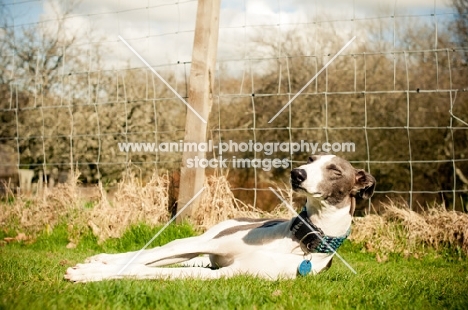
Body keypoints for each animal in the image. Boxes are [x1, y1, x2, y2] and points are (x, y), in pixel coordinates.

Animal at [64, 154, 374, 282]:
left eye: (334, 170)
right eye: (310, 159)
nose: (296, 174)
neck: (302, 241)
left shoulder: (230, 274)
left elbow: (156, 271)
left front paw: (90, 274)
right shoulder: (215, 245)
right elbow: (140, 260)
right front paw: (92, 270)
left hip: (202, 254)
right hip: (199, 240)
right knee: (152, 251)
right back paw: (102, 258)